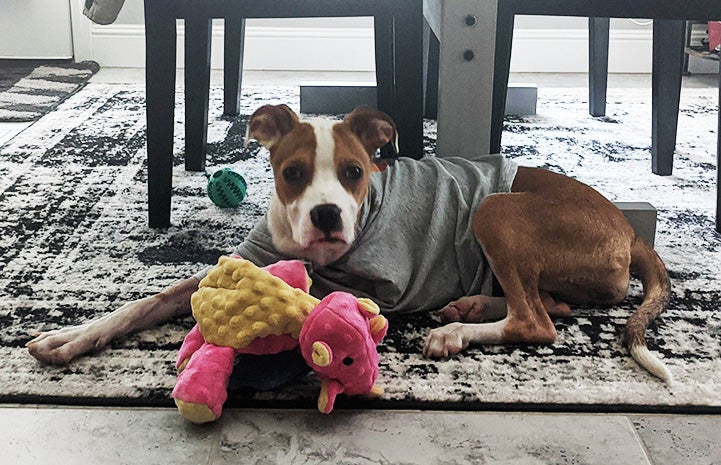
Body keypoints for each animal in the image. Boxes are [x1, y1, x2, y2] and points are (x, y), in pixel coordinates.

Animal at [25, 106, 672, 384]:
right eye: (292, 173)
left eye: (357, 172)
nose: (328, 213)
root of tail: (629, 229)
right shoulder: (249, 262)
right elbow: (148, 300)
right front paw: (70, 337)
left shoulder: (371, 289)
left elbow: (309, 308)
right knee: (550, 304)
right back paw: (467, 306)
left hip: (495, 208)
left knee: (538, 321)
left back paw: (457, 332)